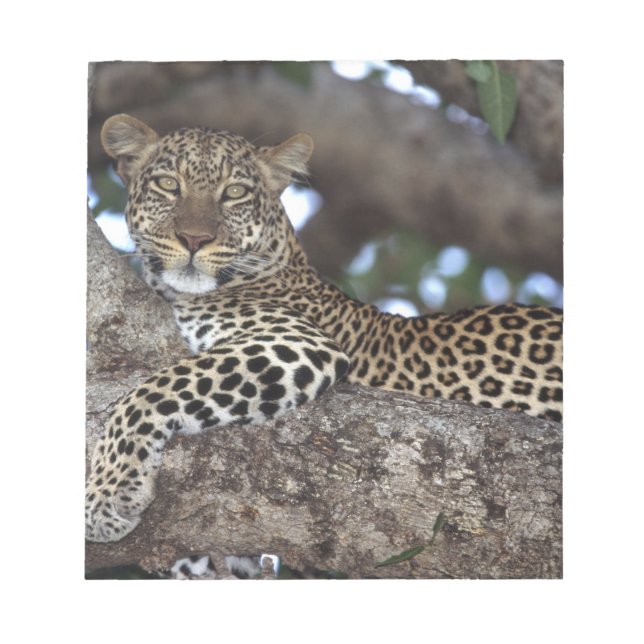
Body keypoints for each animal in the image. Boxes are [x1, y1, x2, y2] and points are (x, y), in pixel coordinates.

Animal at [86, 114, 563, 544]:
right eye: (169, 185)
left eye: (234, 193)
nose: (194, 240)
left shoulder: (296, 342)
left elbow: (153, 390)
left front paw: (107, 496)